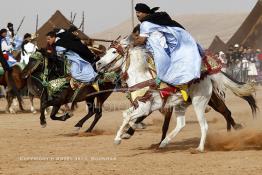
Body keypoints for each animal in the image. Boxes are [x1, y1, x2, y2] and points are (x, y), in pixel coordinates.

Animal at [96, 37, 256, 152]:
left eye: (114, 52)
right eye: (107, 51)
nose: (98, 63)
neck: (142, 78)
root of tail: (207, 74)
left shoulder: (145, 108)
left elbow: (129, 117)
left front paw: (122, 136)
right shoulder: (140, 106)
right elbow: (126, 115)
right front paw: (123, 135)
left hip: (200, 103)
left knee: (207, 124)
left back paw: (200, 148)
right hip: (181, 105)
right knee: (181, 124)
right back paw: (165, 142)